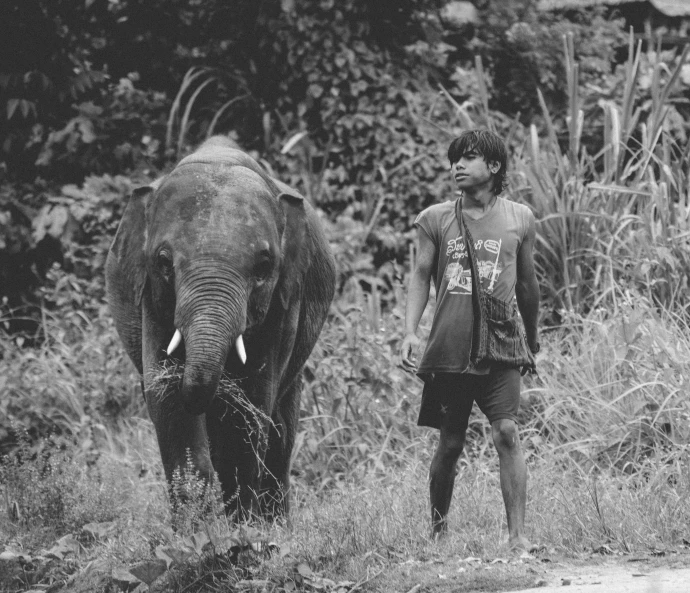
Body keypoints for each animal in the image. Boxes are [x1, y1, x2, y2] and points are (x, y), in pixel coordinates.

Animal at [104, 136, 336, 516]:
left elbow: (249, 409)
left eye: (264, 266)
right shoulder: (151, 297)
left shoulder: (285, 299)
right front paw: (194, 527)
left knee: (282, 433)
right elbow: (167, 402)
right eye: (163, 262)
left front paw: (241, 525)